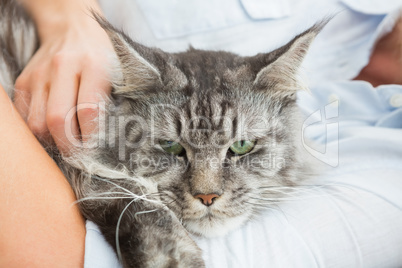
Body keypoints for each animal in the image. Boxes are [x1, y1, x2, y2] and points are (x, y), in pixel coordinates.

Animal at [0, 1, 326, 266]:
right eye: (170, 146)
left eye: (242, 145)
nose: (207, 197)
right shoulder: (80, 164)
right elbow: (137, 203)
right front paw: (174, 259)